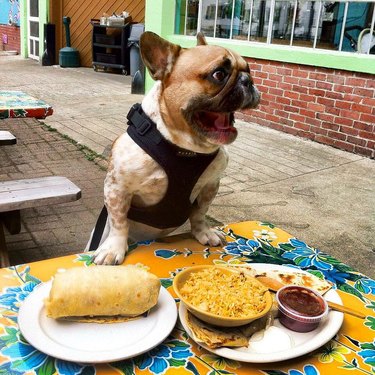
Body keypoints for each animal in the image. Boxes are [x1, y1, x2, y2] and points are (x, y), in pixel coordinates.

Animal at [88, 33, 260, 268]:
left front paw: (203, 232)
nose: (248, 80)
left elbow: (199, 212)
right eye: (219, 74)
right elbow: (119, 221)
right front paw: (115, 248)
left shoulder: (210, 185)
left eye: (248, 69)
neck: (183, 148)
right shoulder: (117, 188)